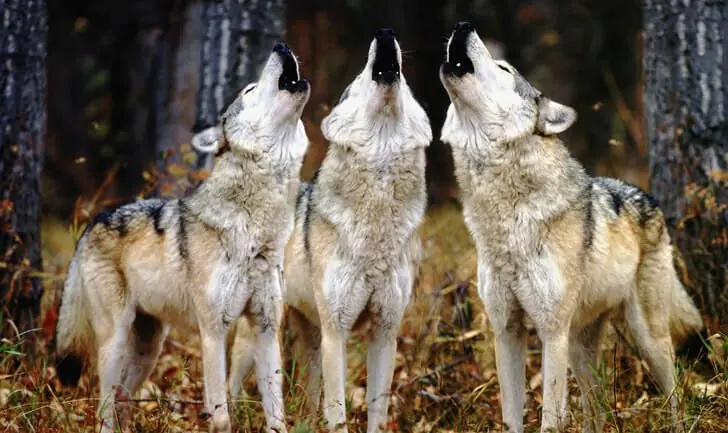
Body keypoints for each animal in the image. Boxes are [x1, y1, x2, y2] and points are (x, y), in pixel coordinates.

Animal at [54, 43, 311, 433]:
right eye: (249, 90)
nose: (281, 46)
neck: (255, 230)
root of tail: (92, 222)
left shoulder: (266, 328)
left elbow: (276, 413)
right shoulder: (213, 331)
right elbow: (221, 415)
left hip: (149, 348)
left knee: (123, 399)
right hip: (114, 341)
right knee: (105, 408)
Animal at [228, 28, 432, 433]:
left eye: (407, 83)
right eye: (358, 78)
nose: (385, 32)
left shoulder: (385, 332)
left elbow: (377, 412)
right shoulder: (336, 332)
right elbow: (338, 414)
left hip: (310, 339)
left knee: (307, 399)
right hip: (263, 334)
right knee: (232, 384)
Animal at [438, 21, 704, 433]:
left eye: (503, 68)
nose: (462, 26)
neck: (506, 218)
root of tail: (649, 197)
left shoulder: (552, 333)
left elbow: (550, 418)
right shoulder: (506, 332)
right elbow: (511, 416)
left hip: (645, 338)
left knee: (675, 394)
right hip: (581, 349)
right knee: (598, 411)